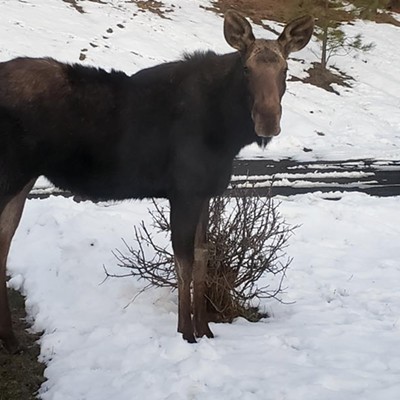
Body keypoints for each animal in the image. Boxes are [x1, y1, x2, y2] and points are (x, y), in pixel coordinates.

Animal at [0, 10, 312, 352]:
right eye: (246, 69)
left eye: (285, 70)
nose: (268, 121)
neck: (226, 135)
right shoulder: (184, 191)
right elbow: (184, 262)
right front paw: (187, 333)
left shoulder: (205, 192)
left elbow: (202, 256)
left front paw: (205, 330)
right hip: (10, 174)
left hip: (23, 178)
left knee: (5, 240)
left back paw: (10, 339)